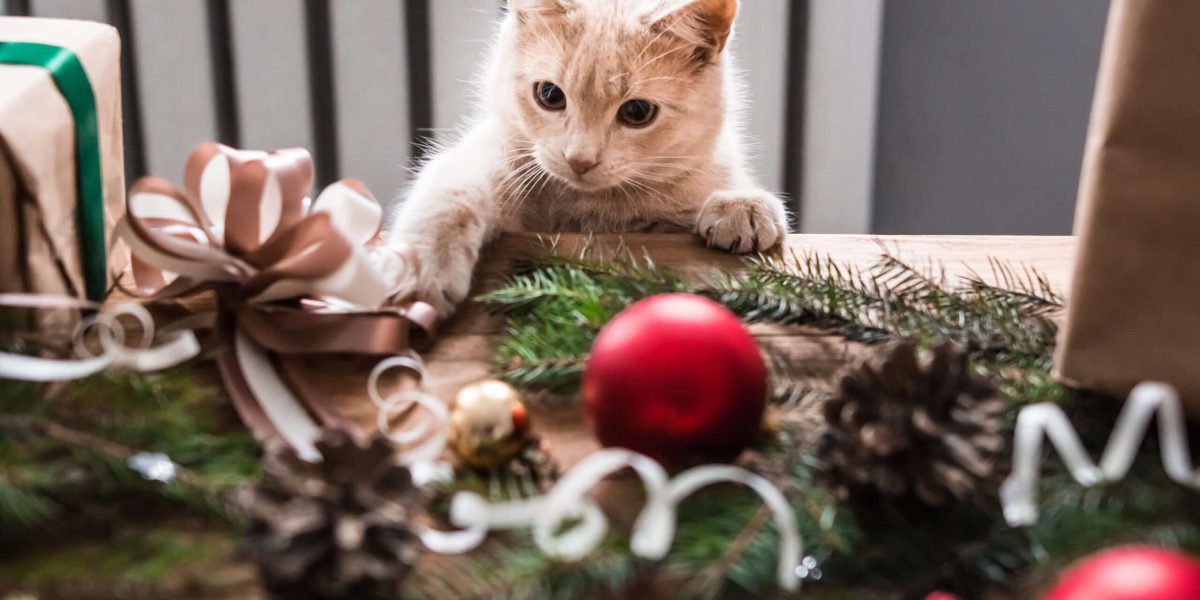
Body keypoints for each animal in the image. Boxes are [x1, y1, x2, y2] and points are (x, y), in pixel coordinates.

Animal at [388, 0, 792, 316]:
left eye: (637, 112)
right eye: (550, 95)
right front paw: (426, 260)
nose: (579, 159)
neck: (588, 208)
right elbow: (453, 191)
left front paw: (741, 204)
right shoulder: (494, 155)